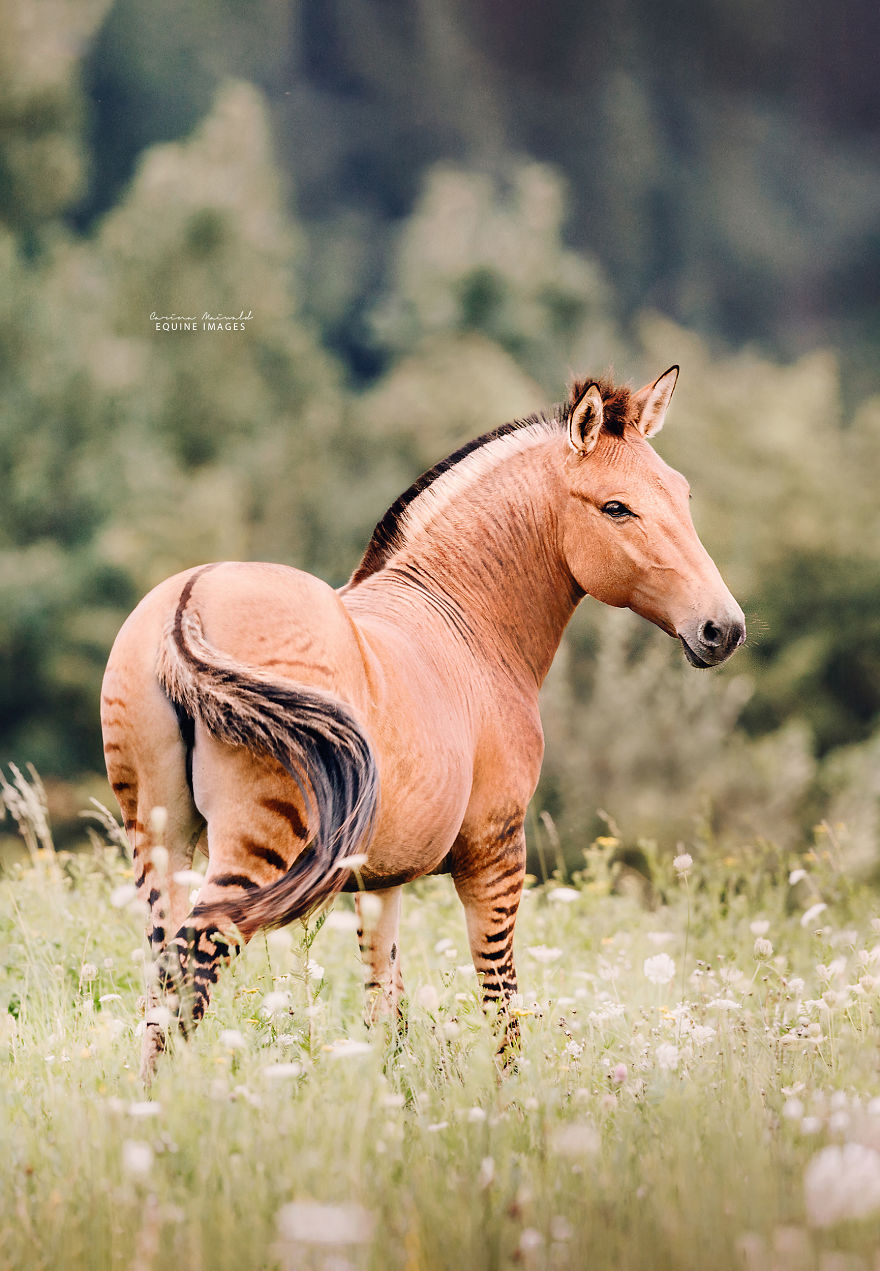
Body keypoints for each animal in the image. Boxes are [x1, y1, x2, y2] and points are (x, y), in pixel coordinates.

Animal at [99, 368, 747, 1082]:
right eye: (615, 508)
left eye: (684, 495)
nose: (724, 629)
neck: (466, 619)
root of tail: (190, 600)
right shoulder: (496, 850)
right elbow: (501, 1001)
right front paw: (511, 1099)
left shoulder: (375, 879)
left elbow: (386, 1006)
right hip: (254, 843)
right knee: (193, 966)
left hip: (158, 836)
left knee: (163, 975)